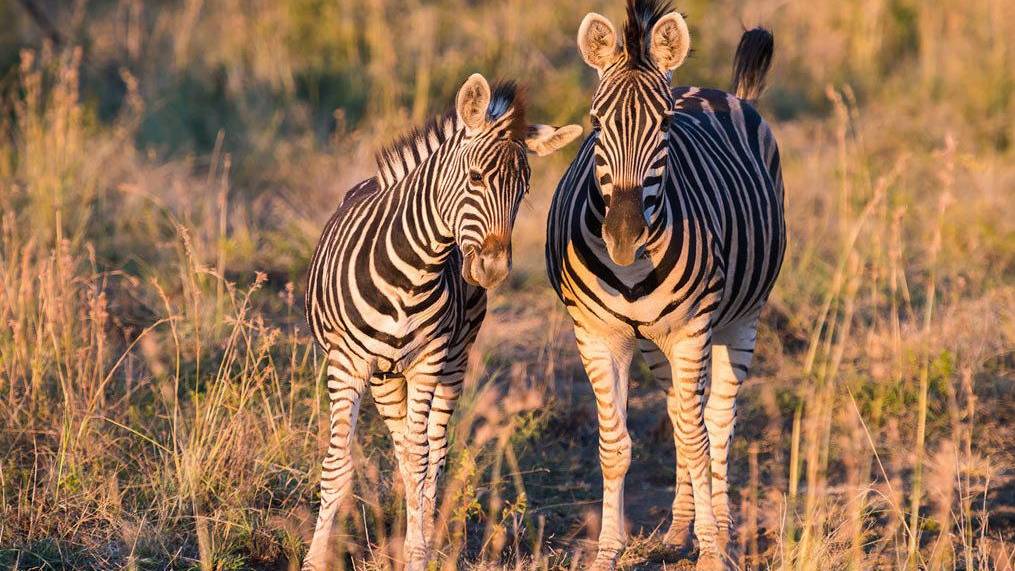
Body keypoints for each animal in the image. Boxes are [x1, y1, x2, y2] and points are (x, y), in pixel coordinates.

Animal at [303, 73, 581, 571]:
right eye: (475, 178)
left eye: (525, 191)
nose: (492, 269)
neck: (411, 274)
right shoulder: (345, 365)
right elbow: (338, 465)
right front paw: (315, 559)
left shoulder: (429, 362)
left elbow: (421, 460)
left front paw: (418, 553)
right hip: (383, 377)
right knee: (402, 446)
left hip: (452, 362)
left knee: (432, 451)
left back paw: (426, 535)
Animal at [545, 1, 784, 569]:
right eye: (595, 122)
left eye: (667, 123)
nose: (623, 235)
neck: (631, 272)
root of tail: (726, 93)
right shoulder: (597, 334)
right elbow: (616, 446)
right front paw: (608, 551)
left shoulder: (693, 330)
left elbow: (700, 440)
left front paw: (713, 551)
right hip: (656, 344)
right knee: (680, 414)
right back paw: (679, 530)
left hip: (741, 321)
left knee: (716, 420)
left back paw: (720, 526)